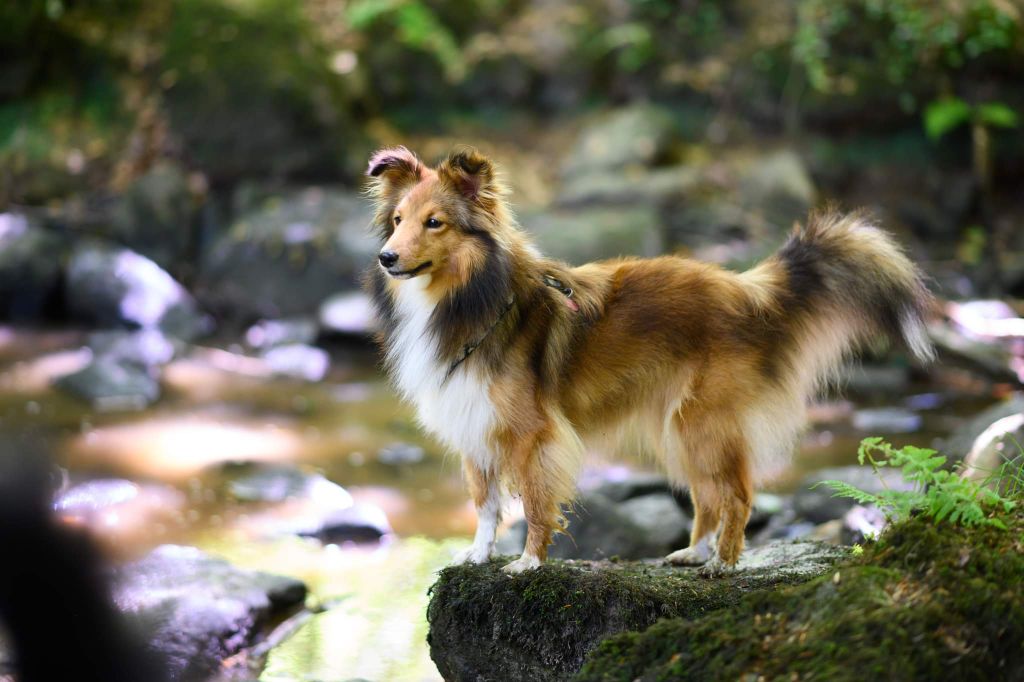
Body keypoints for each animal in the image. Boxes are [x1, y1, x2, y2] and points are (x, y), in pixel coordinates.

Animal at [364, 144, 933, 573]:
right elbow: (484, 503)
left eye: (434, 223)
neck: (471, 299)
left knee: (737, 492)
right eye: (397, 220)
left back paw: (723, 563)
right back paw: (693, 552)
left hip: (703, 419)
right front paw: (478, 555)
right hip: (676, 426)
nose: (386, 258)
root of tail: (750, 290)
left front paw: (528, 561)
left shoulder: (531, 433)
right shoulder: (473, 423)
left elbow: (534, 500)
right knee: (707, 494)